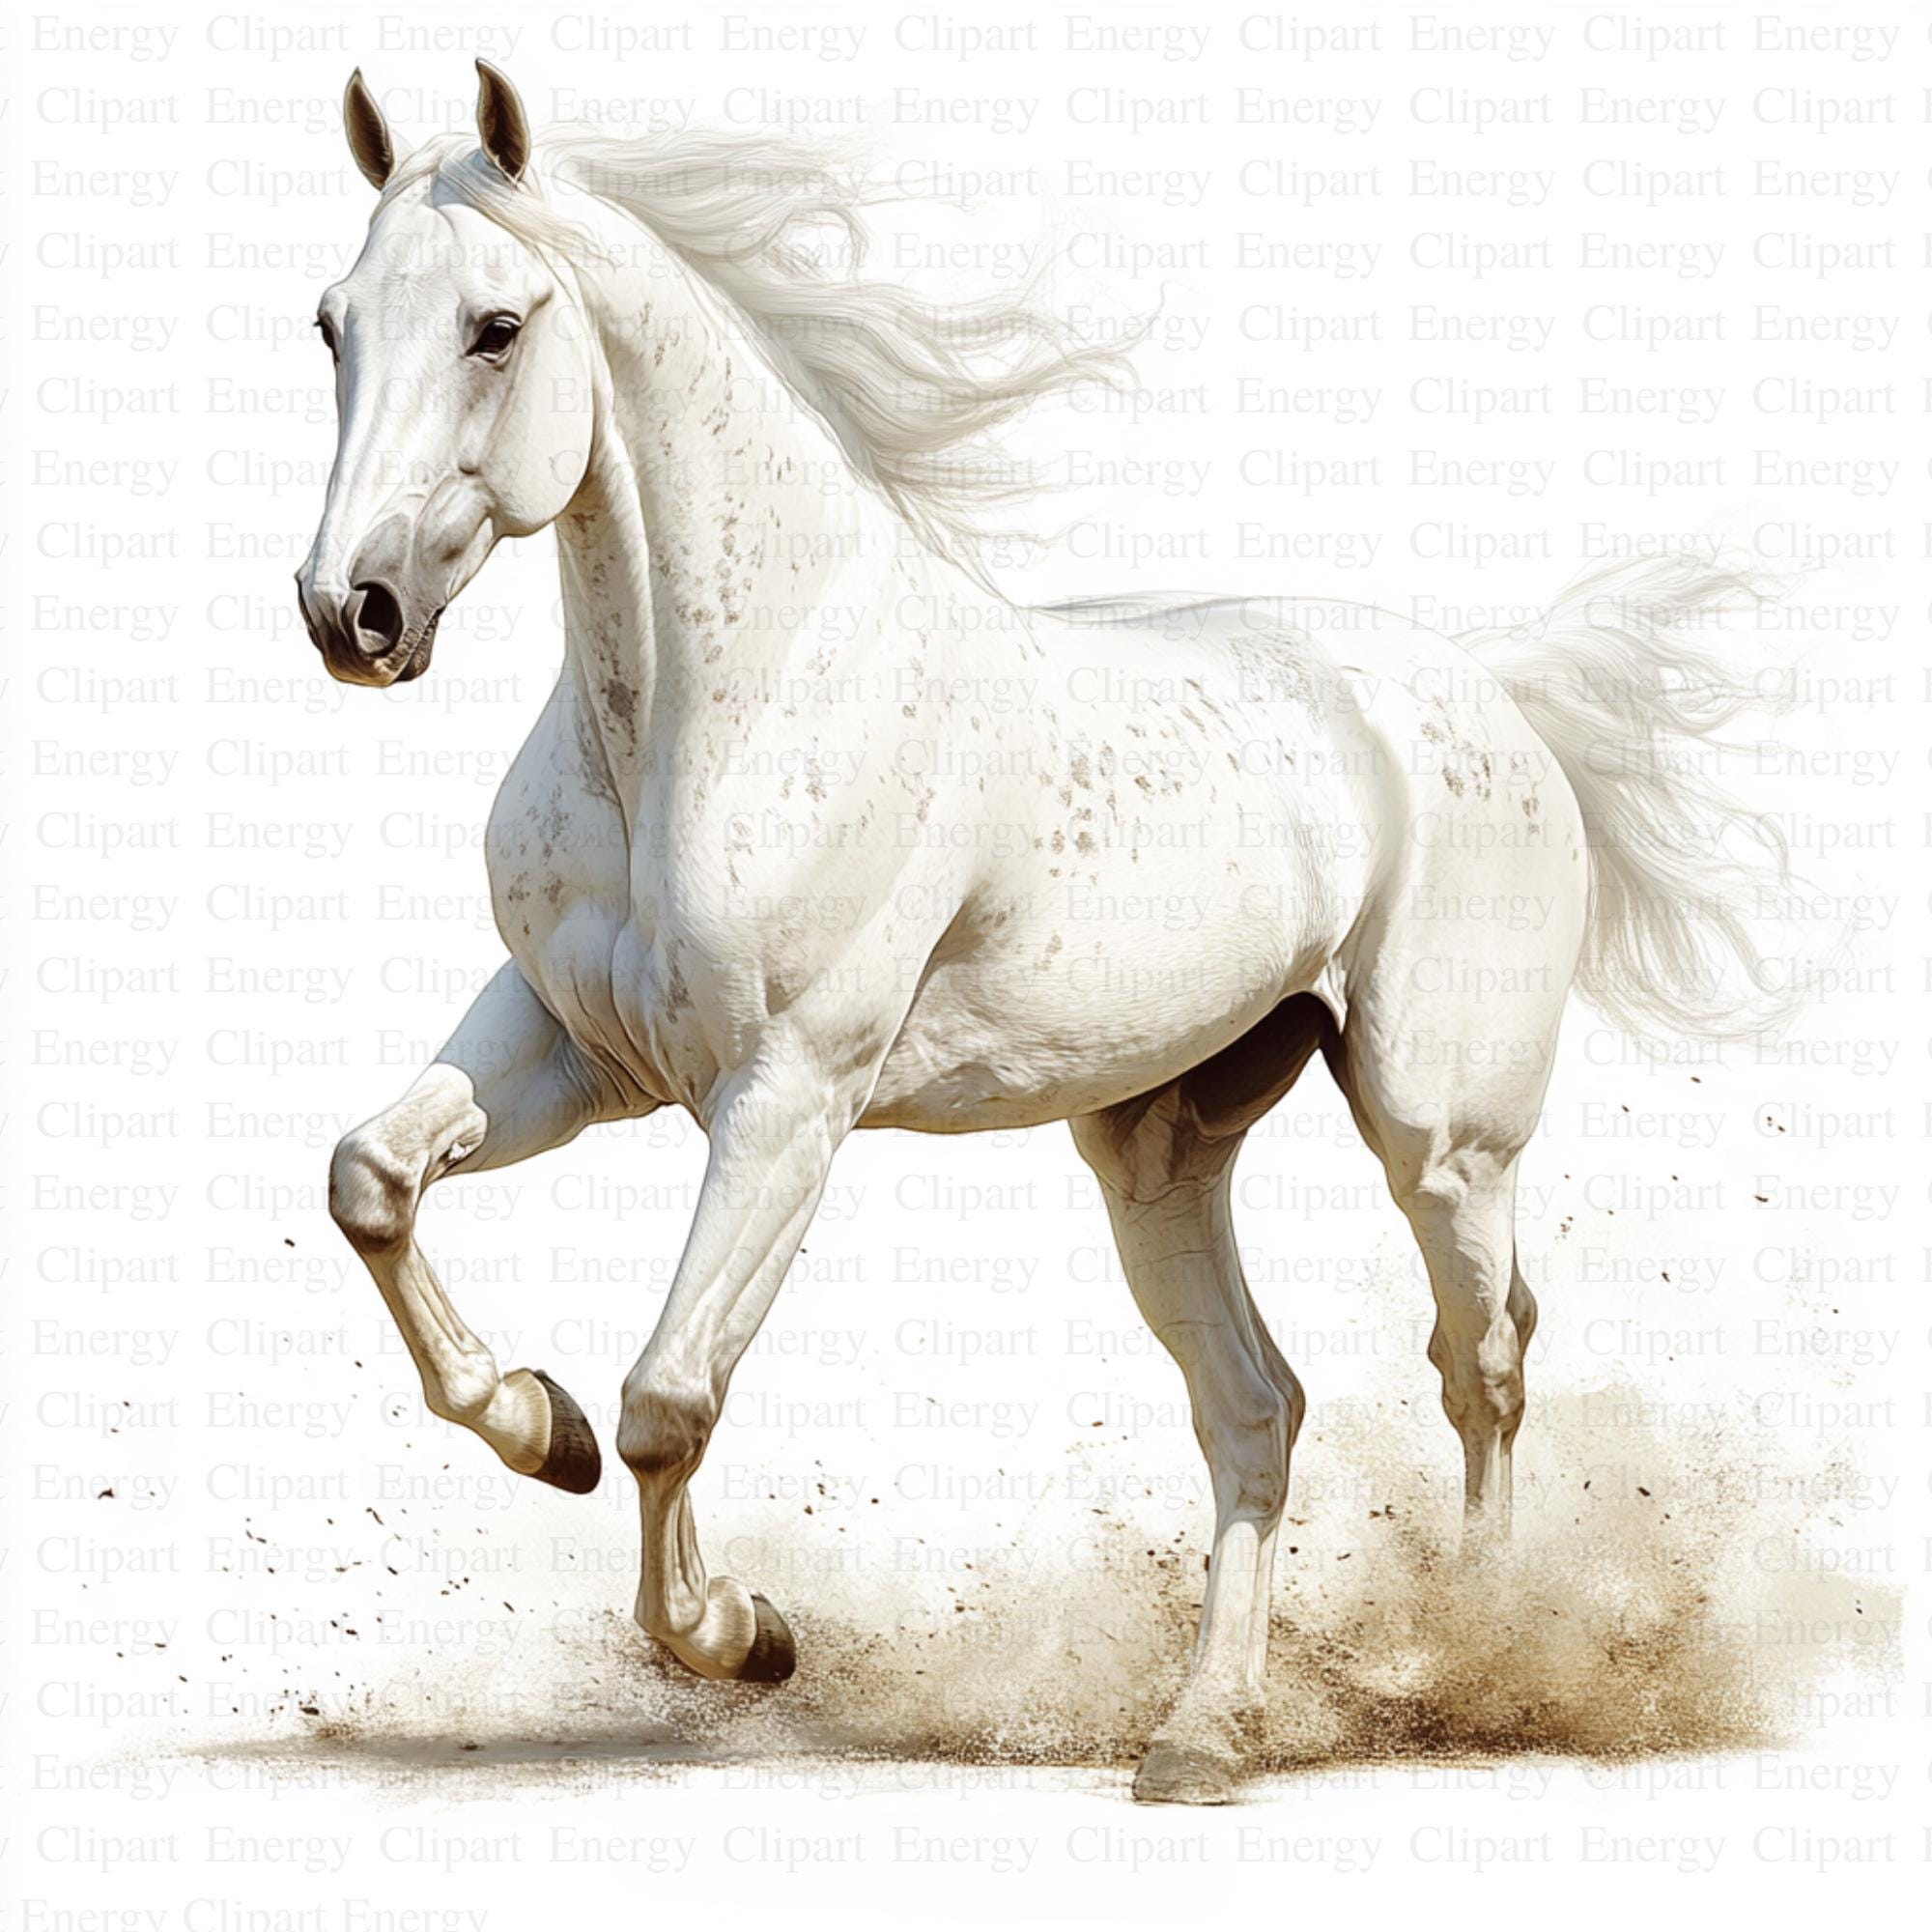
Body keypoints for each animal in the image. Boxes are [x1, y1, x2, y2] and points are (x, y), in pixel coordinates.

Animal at [296, 64, 1804, 1803]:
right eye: (332, 325)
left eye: (494, 326)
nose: (350, 616)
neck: (711, 705)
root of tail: (1495, 687)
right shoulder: (571, 1043)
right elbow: (370, 1180)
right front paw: (540, 1428)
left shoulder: (787, 1096)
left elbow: (673, 1396)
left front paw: (746, 1637)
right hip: (1160, 1152)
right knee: (1258, 1408)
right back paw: (1202, 1736)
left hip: (1443, 1136)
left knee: (1478, 1360)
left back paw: (1484, 1657)